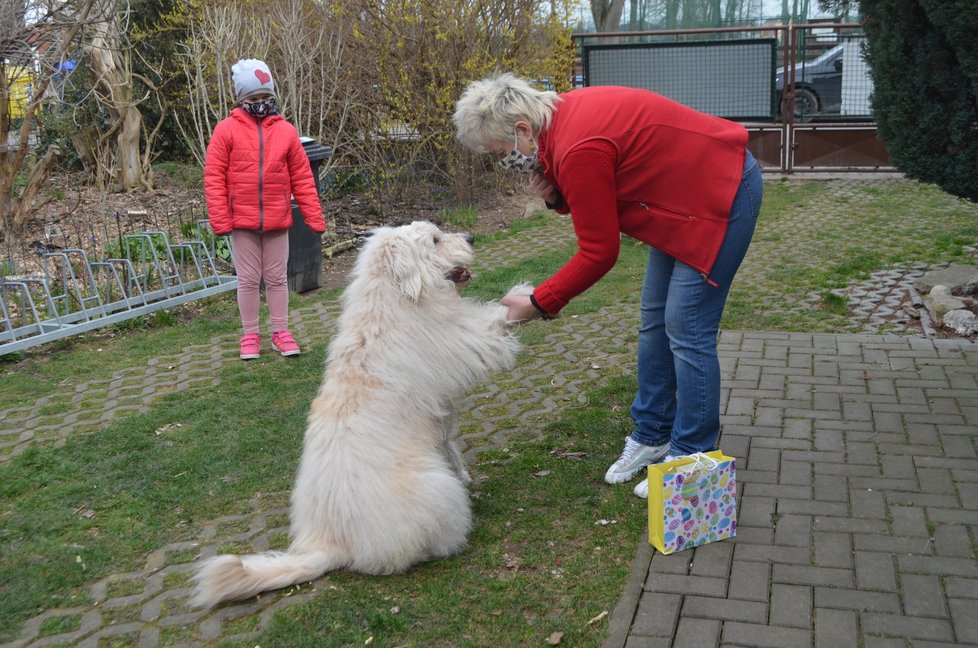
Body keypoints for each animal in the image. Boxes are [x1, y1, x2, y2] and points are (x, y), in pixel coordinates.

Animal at [191, 221, 528, 608]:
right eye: (435, 240)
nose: (472, 238)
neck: (396, 296)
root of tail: (330, 542)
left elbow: (450, 446)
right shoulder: (464, 339)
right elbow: (491, 325)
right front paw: (522, 294)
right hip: (434, 492)